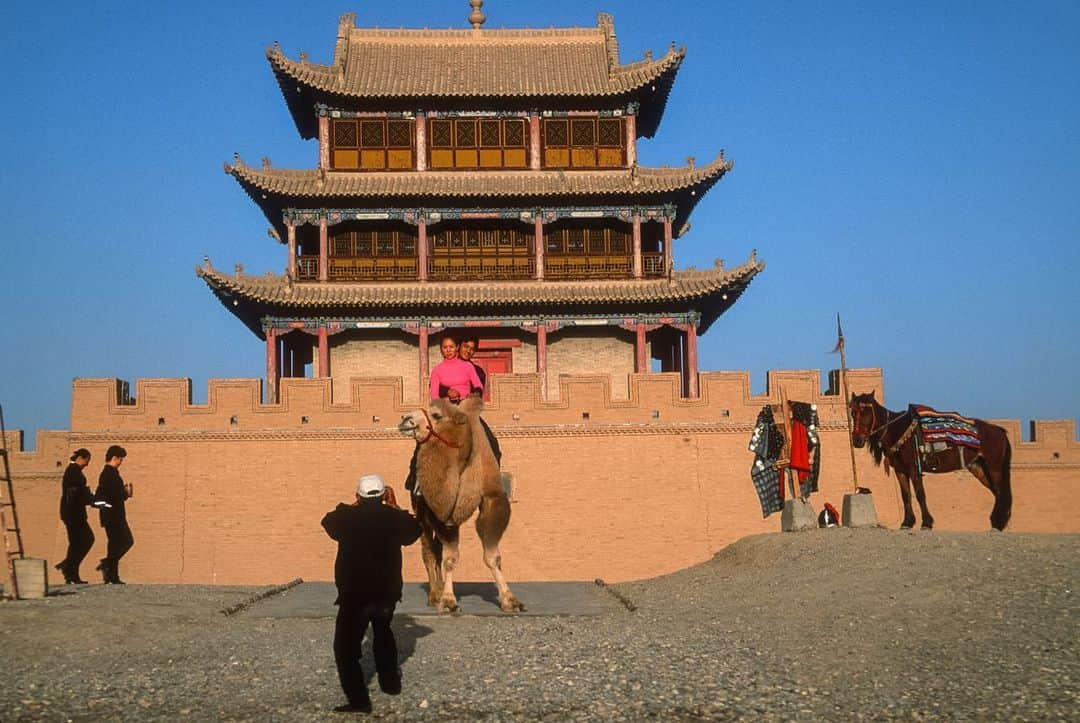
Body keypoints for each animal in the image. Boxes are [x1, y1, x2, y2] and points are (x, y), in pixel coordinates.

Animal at [401, 397, 527, 613]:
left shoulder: (492, 499)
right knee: (429, 549)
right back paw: (434, 594)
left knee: (436, 548)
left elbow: (493, 556)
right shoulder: (440, 512)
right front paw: (448, 600)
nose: (405, 419)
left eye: (437, 415)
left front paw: (510, 600)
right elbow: (450, 558)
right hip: (420, 508)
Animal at [851, 391, 1010, 527]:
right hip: (979, 467)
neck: (897, 431)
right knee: (996, 492)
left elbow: (920, 494)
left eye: (866, 413)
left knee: (1000, 491)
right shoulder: (900, 470)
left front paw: (927, 522)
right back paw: (998, 522)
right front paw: (907, 522)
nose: (857, 441)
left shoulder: (914, 468)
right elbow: (905, 495)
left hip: (994, 467)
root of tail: (999, 431)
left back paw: (998, 522)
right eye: (852, 413)